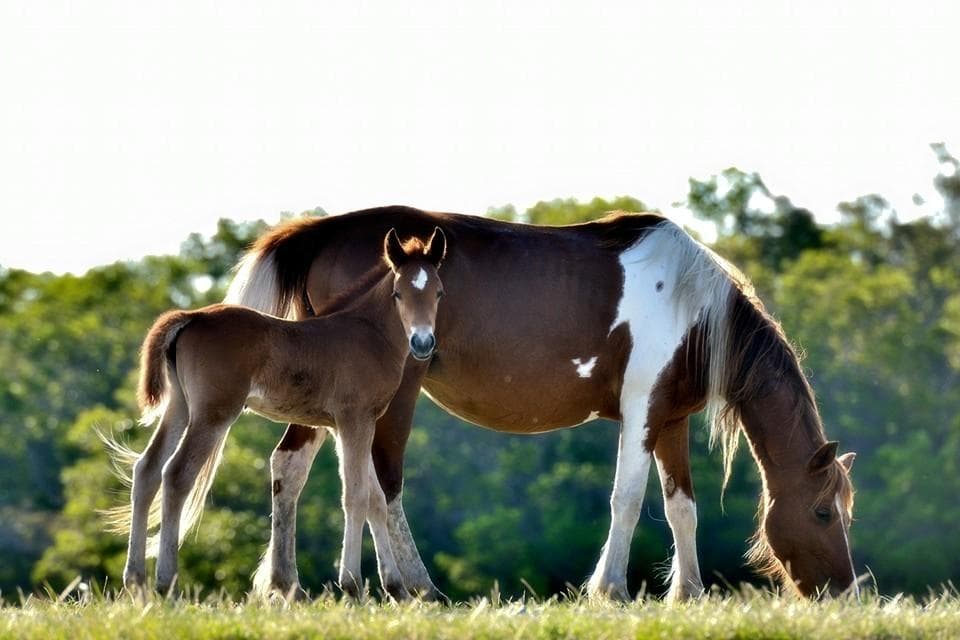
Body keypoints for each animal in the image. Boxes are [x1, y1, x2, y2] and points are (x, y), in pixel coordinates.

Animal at [108, 227, 447, 600]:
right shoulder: (354, 419)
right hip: (213, 412)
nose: (422, 343)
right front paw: (352, 585)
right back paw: (166, 584)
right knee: (177, 473)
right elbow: (356, 496)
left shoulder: (347, 426)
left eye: (439, 293)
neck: (370, 333)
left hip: (180, 407)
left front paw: (396, 587)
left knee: (147, 468)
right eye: (398, 293)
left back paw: (135, 581)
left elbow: (374, 499)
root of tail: (191, 317)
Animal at [225, 206, 858, 602]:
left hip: (327, 397)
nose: (846, 592)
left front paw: (689, 593)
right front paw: (609, 589)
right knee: (381, 483)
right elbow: (628, 500)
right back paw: (410, 585)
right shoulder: (641, 411)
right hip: (384, 398)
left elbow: (682, 507)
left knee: (290, 465)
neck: (693, 307)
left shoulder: (669, 418)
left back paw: (285, 584)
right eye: (823, 513)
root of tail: (320, 232)